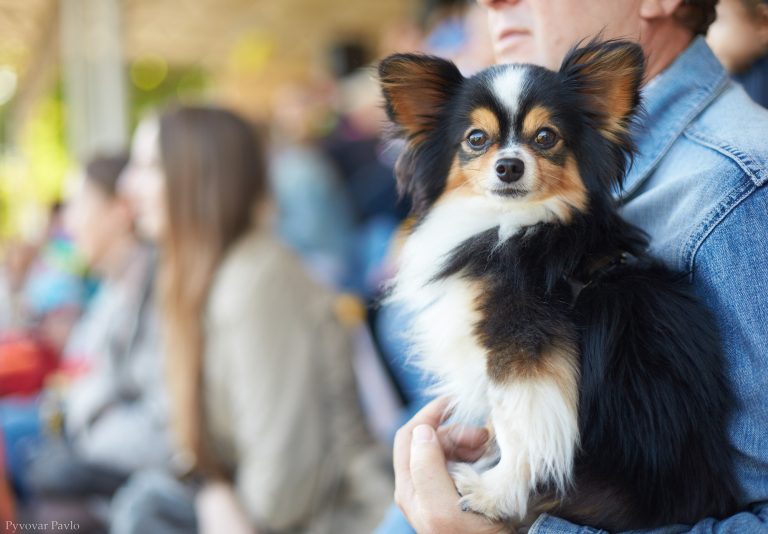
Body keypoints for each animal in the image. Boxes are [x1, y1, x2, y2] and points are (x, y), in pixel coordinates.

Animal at [378, 38, 736, 532]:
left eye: (546, 137)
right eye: (476, 139)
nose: (509, 166)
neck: (512, 225)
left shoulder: (524, 347)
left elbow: (519, 426)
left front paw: (493, 493)